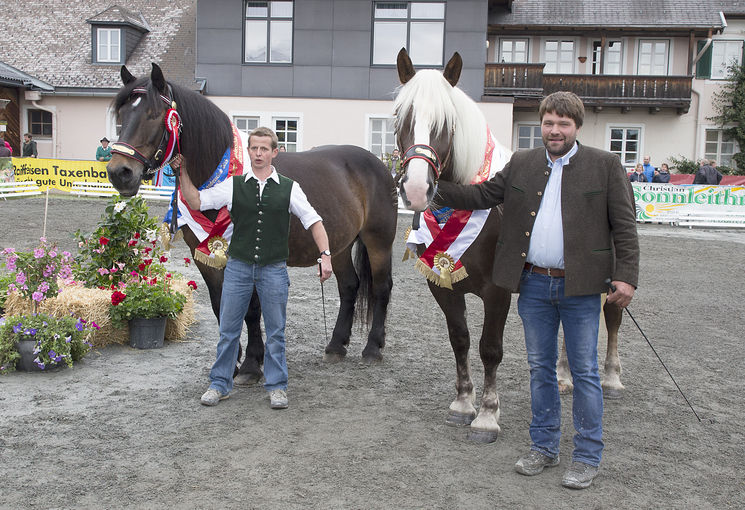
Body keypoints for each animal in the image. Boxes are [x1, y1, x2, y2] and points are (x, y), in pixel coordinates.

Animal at [107, 63, 398, 380]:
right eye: (121, 116)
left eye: (153, 114)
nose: (119, 172)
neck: (220, 177)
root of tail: (381, 165)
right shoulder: (206, 257)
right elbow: (221, 305)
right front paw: (231, 361)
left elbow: (251, 309)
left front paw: (251, 363)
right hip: (339, 245)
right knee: (349, 287)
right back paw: (335, 345)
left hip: (378, 242)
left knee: (381, 287)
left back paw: (373, 348)